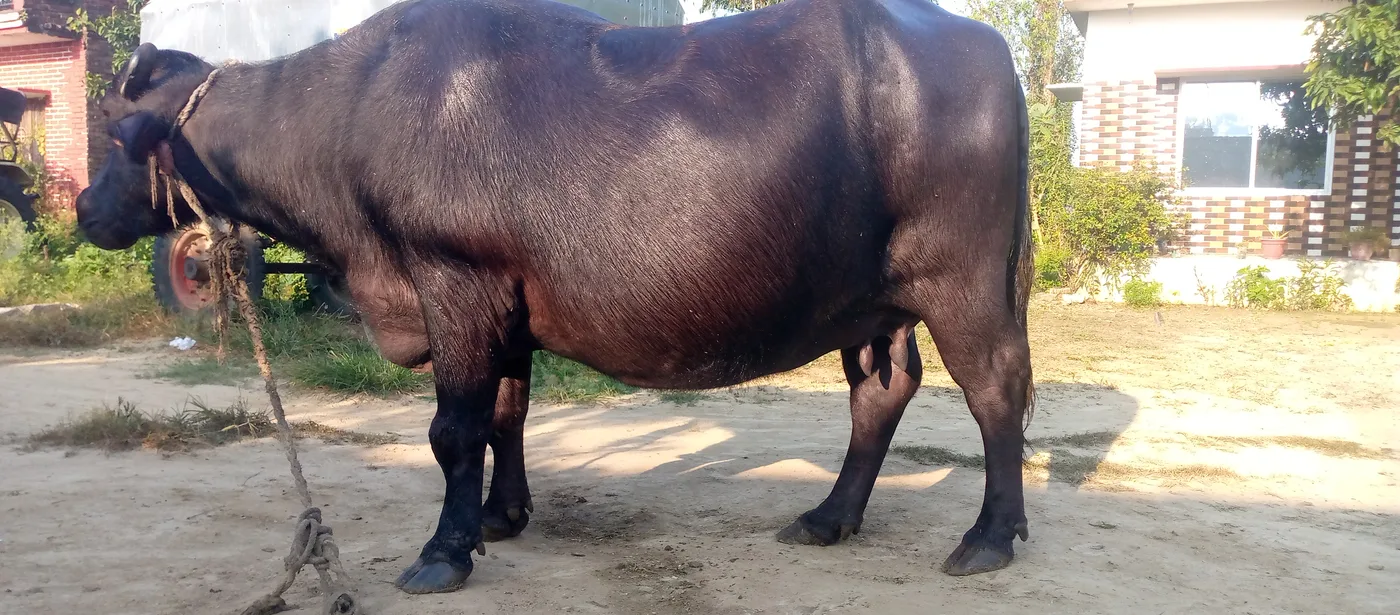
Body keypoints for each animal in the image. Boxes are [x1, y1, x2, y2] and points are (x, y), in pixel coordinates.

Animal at [76, 0, 1034, 594]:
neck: (348, 116)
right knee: (881, 391)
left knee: (996, 391)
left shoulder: (453, 284)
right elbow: (507, 413)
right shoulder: (505, 309)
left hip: (964, 282)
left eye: (119, 137)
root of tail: (989, 52)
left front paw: (443, 551)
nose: (83, 207)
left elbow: (452, 428)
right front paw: (500, 516)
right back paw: (830, 516)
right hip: (872, 301)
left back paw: (989, 537)